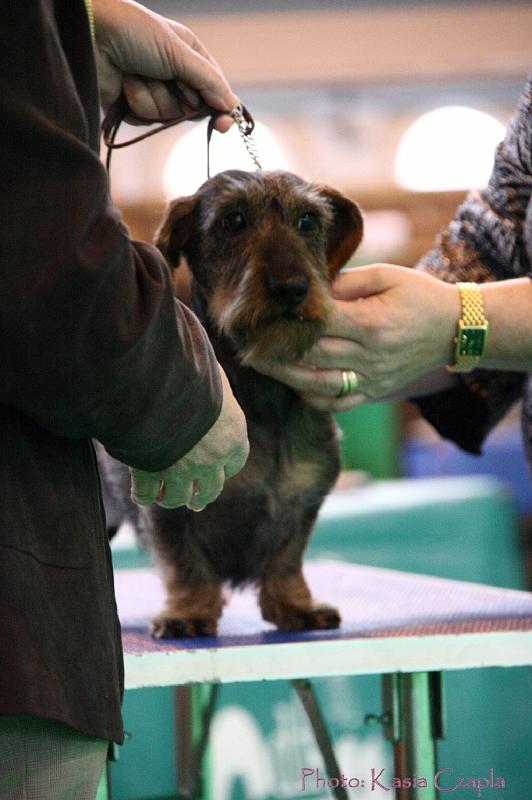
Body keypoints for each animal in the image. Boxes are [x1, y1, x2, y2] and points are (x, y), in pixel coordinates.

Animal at [99, 170, 362, 636]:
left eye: (308, 220)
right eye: (233, 220)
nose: (291, 289)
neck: (260, 394)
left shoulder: (304, 497)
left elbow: (287, 558)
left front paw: (294, 605)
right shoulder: (169, 506)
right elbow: (185, 564)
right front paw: (189, 612)